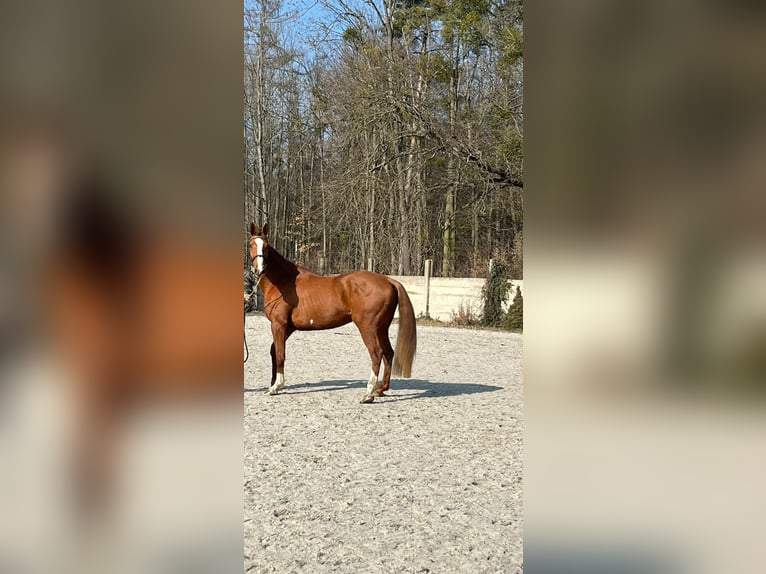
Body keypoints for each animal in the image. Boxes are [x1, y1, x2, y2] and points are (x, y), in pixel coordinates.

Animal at [248, 223, 417, 403]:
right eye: (251, 245)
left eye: (266, 246)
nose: (260, 269)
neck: (284, 282)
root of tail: (388, 280)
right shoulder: (288, 327)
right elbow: (274, 351)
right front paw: (274, 384)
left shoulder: (279, 325)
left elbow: (280, 354)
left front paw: (276, 387)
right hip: (382, 328)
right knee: (388, 353)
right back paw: (381, 389)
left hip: (368, 328)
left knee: (377, 354)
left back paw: (368, 393)